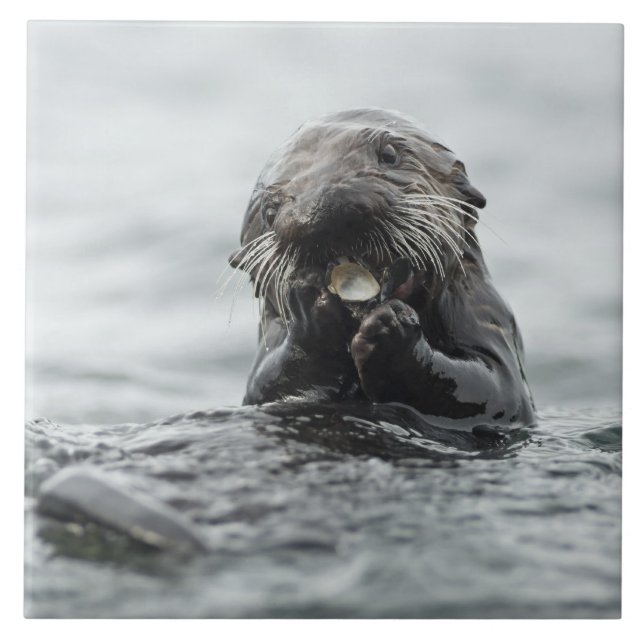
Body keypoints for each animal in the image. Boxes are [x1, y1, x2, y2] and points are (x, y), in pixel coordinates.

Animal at [229, 108, 535, 429]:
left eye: (389, 154)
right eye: (269, 211)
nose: (323, 209)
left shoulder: (486, 315)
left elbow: (495, 388)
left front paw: (392, 327)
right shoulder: (266, 377)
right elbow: (271, 385)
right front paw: (311, 311)